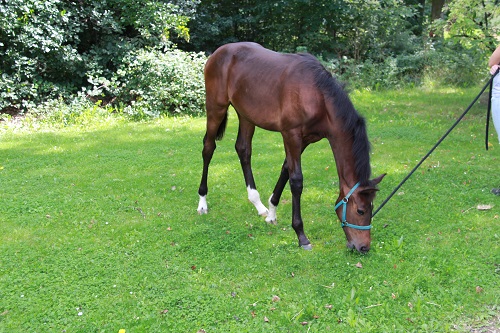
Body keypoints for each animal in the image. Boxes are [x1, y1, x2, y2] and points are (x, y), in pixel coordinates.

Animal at [197, 42, 384, 253]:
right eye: (360, 210)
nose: (364, 247)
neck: (317, 95)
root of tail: (218, 52)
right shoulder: (291, 135)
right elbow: (296, 180)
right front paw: (301, 235)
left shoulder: (305, 140)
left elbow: (285, 169)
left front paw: (272, 212)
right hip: (216, 108)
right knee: (208, 148)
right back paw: (202, 202)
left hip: (246, 115)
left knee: (243, 149)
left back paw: (258, 204)